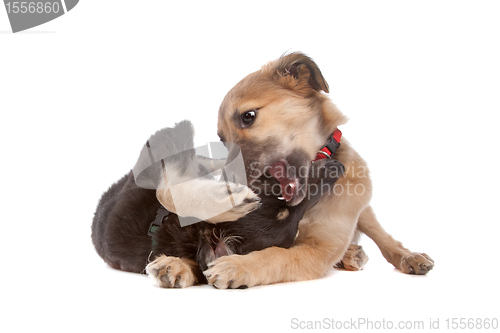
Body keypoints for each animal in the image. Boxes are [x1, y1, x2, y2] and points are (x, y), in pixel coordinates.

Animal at [200, 52, 434, 288]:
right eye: (223, 140)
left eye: (248, 116)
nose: (225, 187)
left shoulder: (320, 247)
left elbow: (276, 256)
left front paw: (238, 266)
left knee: (383, 236)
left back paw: (407, 256)